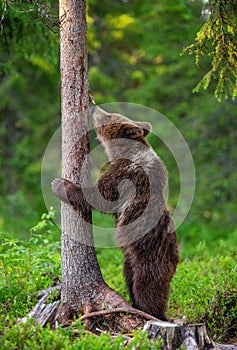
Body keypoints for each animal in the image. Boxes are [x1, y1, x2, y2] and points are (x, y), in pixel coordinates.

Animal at [51, 106, 178, 320]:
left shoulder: (126, 175)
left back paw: (151, 313)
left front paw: (59, 184)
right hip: (130, 260)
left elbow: (100, 196)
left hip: (149, 257)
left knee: (147, 287)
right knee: (130, 278)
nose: (94, 107)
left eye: (109, 115)